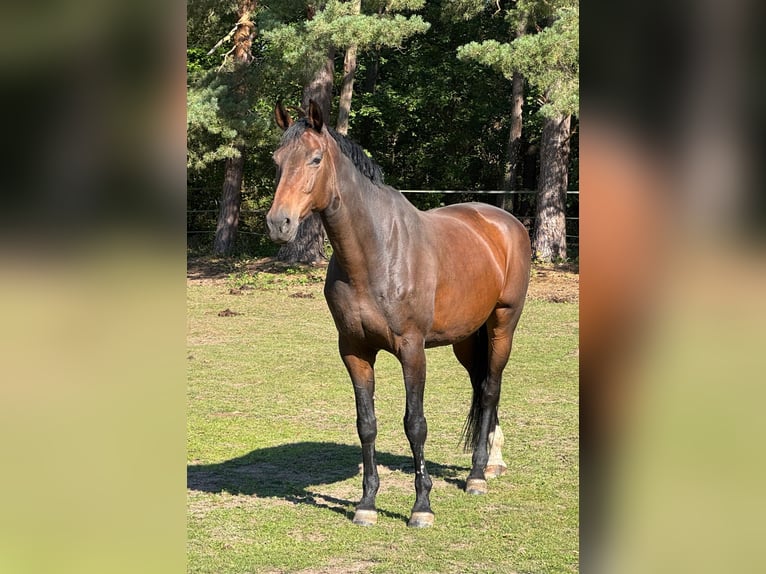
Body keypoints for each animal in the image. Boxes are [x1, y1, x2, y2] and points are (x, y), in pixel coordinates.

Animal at [266, 100, 531, 528]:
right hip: (466, 339)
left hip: (502, 325)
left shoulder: (412, 350)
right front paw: (366, 503)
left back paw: (477, 475)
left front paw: (421, 506)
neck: (375, 252)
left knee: (491, 388)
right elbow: (367, 424)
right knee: (481, 386)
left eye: (315, 159)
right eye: (276, 161)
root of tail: (504, 222)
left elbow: (415, 424)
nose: (279, 223)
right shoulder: (354, 351)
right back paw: (491, 461)